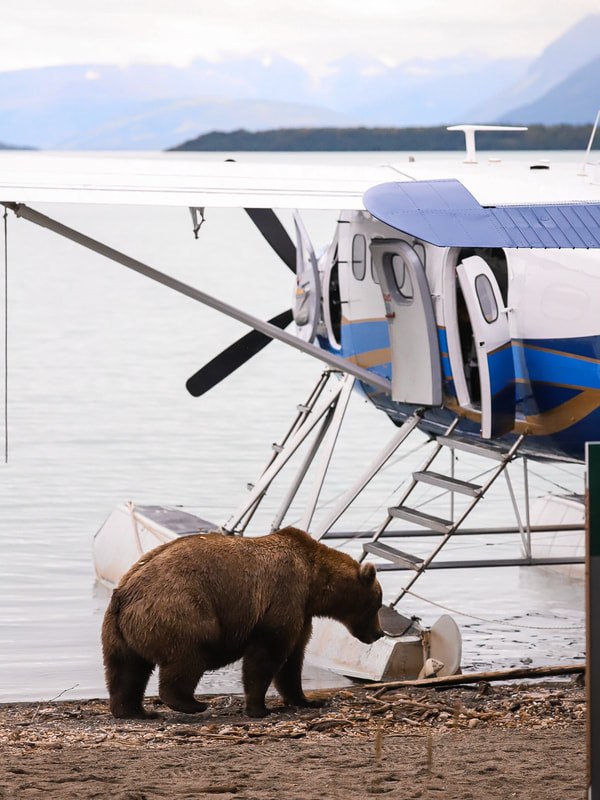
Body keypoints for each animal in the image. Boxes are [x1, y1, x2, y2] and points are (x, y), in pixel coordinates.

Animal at [101, 526, 383, 719]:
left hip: (119, 631)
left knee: (126, 670)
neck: (314, 583)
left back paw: (135, 711)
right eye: (377, 603)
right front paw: (260, 708)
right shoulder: (283, 596)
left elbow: (293, 660)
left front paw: (307, 700)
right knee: (189, 655)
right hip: (180, 611)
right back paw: (191, 703)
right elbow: (268, 654)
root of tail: (126, 595)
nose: (379, 633)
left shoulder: (302, 614)